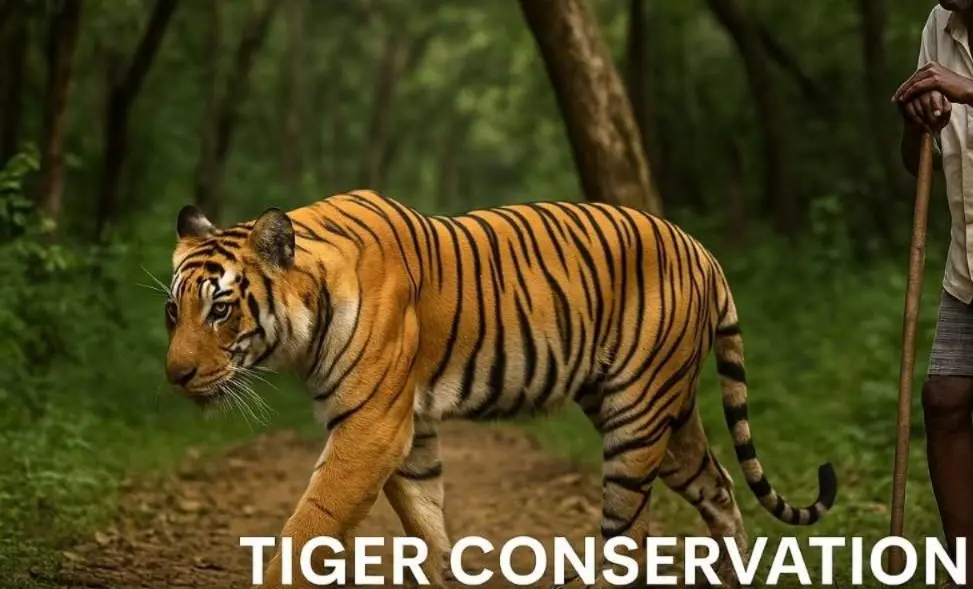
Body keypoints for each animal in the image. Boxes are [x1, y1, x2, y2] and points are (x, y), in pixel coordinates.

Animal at [163, 189, 836, 588]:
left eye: (220, 309)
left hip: (638, 416)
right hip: (665, 415)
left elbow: (312, 523)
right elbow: (425, 523)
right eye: (175, 311)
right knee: (717, 484)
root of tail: (703, 250)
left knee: (631, 531)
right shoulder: (408, 430)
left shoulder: (371, 427)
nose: (176, 377)